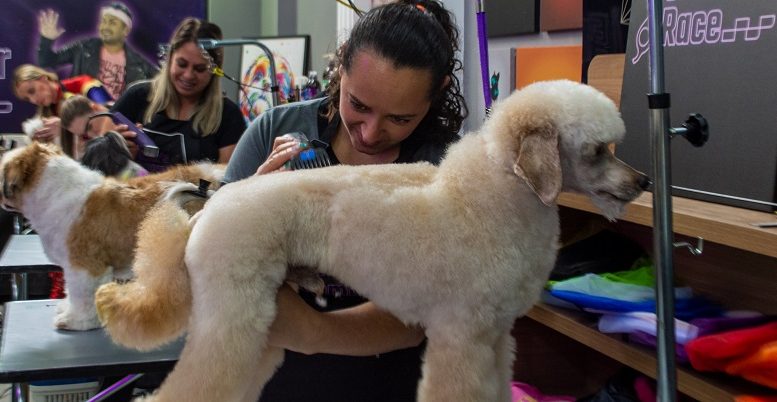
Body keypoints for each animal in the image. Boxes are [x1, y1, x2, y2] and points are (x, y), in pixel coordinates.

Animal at [94, 80, 648, 400]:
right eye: (598, 150)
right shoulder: (461, 337)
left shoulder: (494, 339)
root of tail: (210, 209)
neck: (492, 196)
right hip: (233, 320)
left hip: (255, 328)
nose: (642, 181)